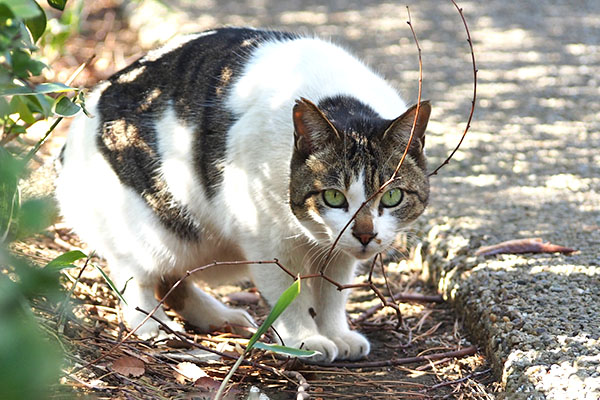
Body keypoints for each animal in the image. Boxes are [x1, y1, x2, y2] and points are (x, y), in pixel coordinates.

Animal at [55, 26, 432, 360]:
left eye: (393, 197)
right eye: (334, 197)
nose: (365, 234)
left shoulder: (337, 251)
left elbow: (332, 293)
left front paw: (336, 333)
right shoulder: (266, 240)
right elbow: (288, 296)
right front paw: (305, 340)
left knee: (172, 279)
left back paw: (220, 317)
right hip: (151, 228)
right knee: (137, 273)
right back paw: (151, 324)